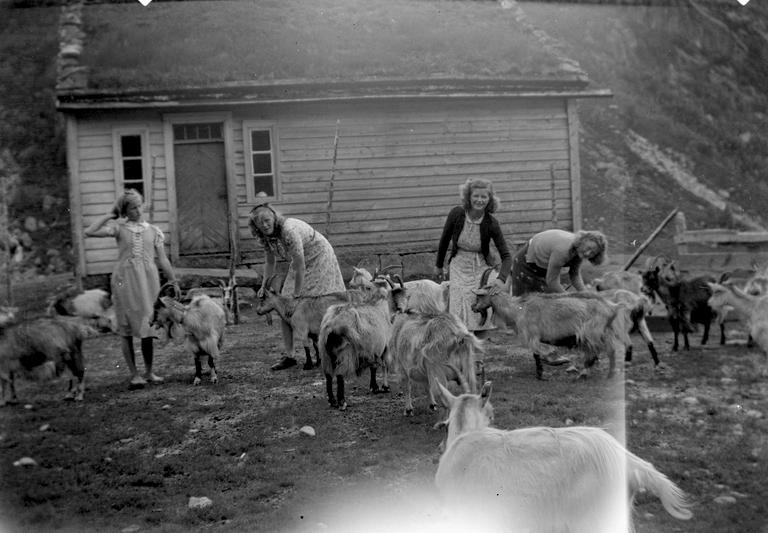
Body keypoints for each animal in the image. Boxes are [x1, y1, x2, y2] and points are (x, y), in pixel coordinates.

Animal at [471, 287, 629, 380]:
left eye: (479, 297)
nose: (473, 307)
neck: (518, 309)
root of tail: (612, 307)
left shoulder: (533, 335)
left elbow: (537, 354)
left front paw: (541, 373)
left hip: (592, 333)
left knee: (602, 351)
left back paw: (589, 374)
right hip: (603, 332)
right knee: (608, 350)